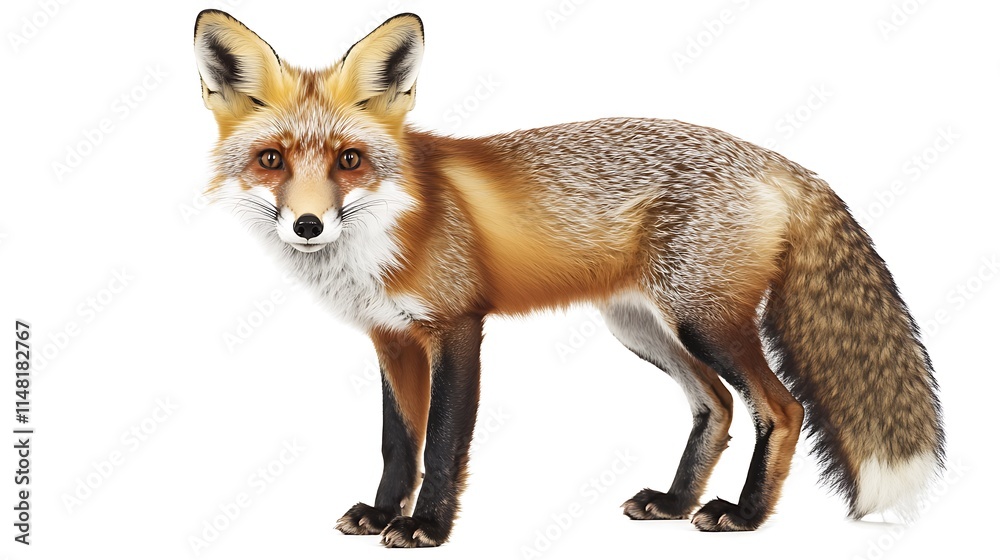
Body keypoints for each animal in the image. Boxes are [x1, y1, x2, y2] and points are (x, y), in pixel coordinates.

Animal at [193, 9, 945, 547]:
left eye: (349, 159)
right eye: (271, 160)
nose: (308, 225)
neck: (388, 229)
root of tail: (779, 160)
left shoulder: (457, 327)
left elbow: (442, 444)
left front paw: (426, 527)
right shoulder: (392, 339)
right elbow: (397, 444)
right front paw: (382, 515)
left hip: (703, 322)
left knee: (781, 409)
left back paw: (744, 516)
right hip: (643, 328)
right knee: (716, 405)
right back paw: (675, 502)